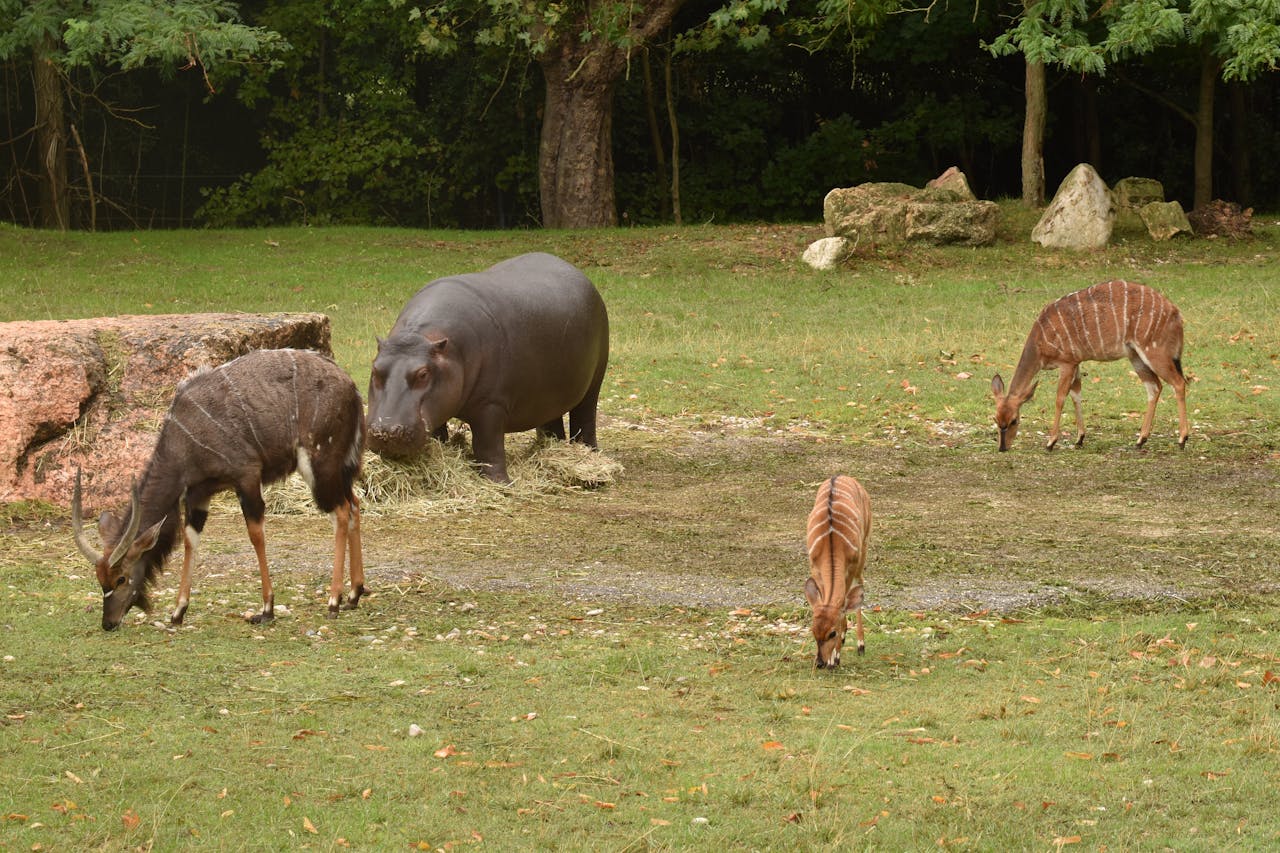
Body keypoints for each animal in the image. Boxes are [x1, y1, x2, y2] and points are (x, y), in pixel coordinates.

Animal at [367, 252, 609, 483]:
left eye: (423, 374)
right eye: (375, 369)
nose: (385, 432)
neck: (421, 336)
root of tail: (579, 273)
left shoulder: (491, 405)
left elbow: (488, 446)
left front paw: (500, 483)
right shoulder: (441, 402)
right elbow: (438, 432)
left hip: (594, 381)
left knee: (585, 418)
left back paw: (591, 464)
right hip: (549, 392)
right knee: (551, 419)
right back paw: (548, 450)